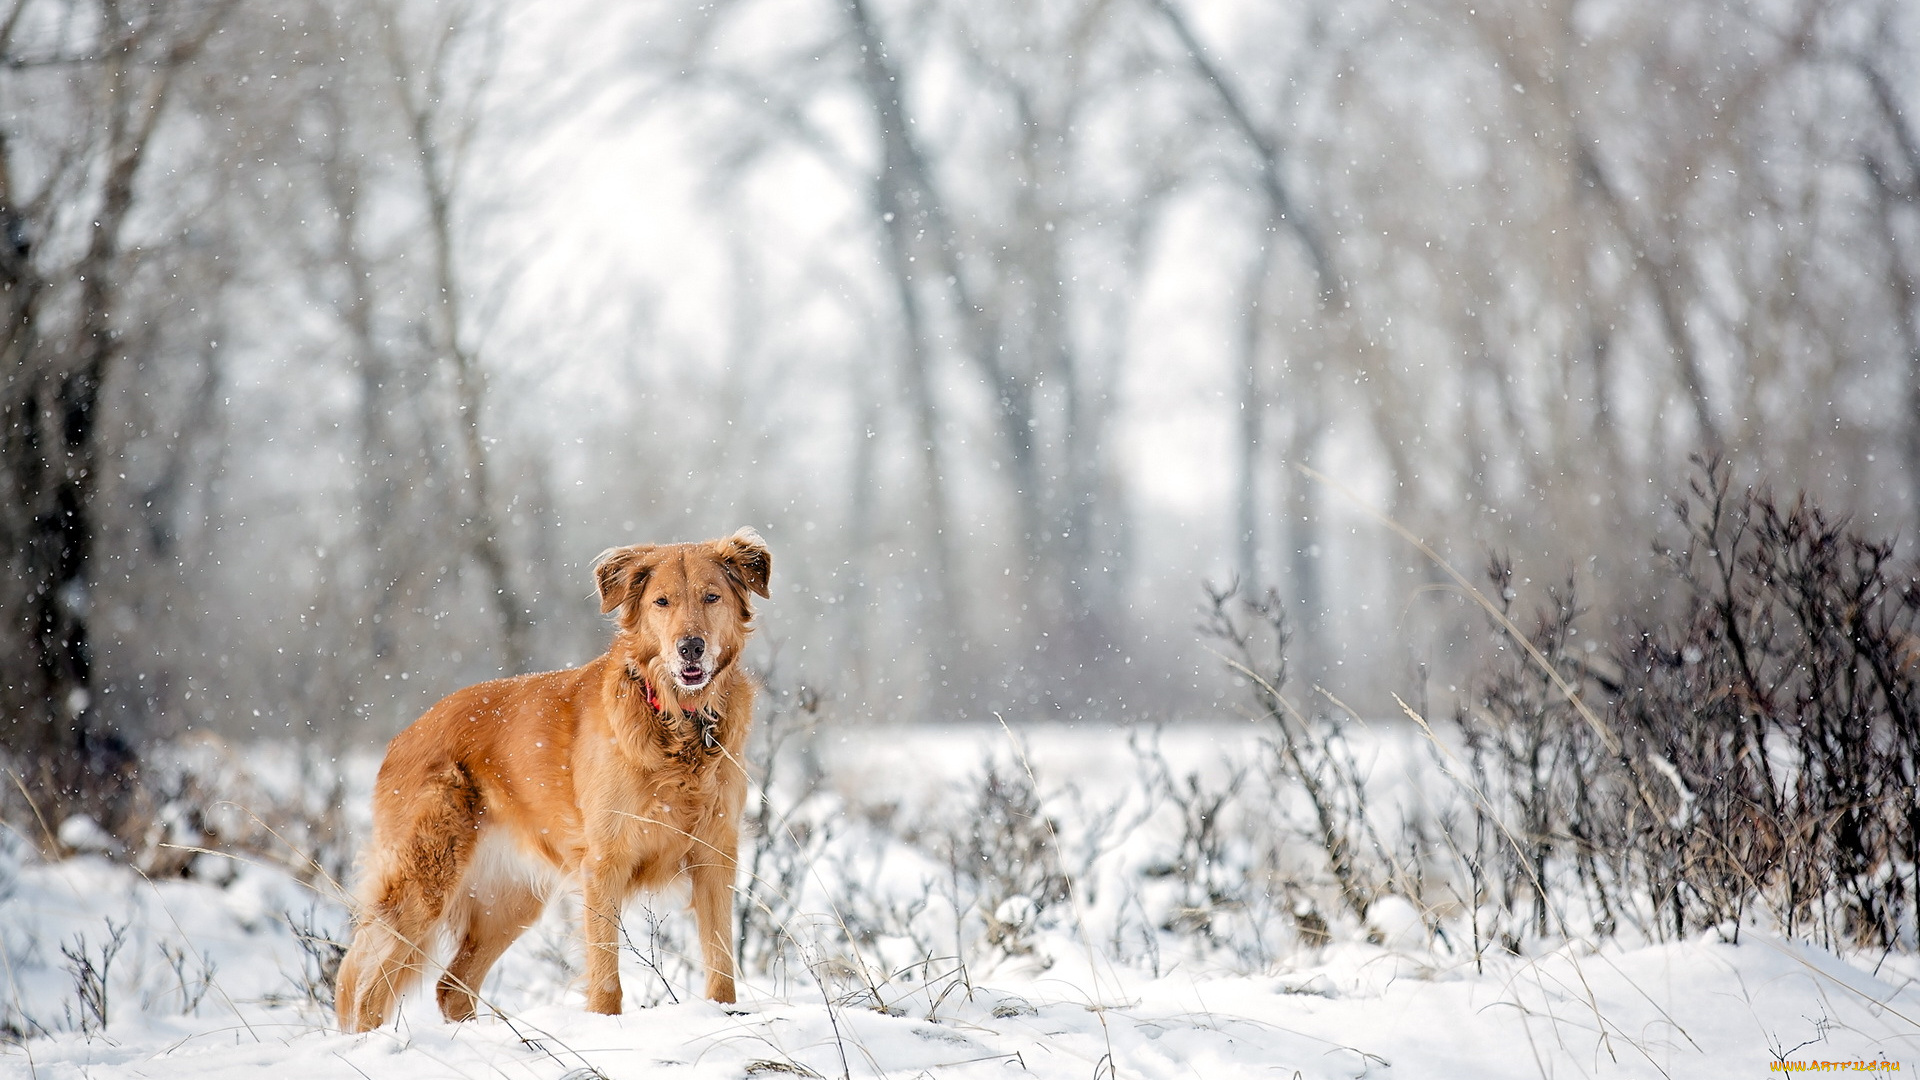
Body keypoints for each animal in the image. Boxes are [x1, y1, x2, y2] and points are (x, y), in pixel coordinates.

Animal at [334, 526, 768, 1030]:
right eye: (662, 601)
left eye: (711, 596)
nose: (690, 647)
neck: (679, 721)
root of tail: (403, 735)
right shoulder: (604, 861)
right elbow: (605, 972)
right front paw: (605, 1025)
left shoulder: (715, 852)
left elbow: (720, 961)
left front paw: (726, 1013)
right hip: (425, 881)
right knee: (369, 990)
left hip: (509, 901)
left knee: (451, 988)